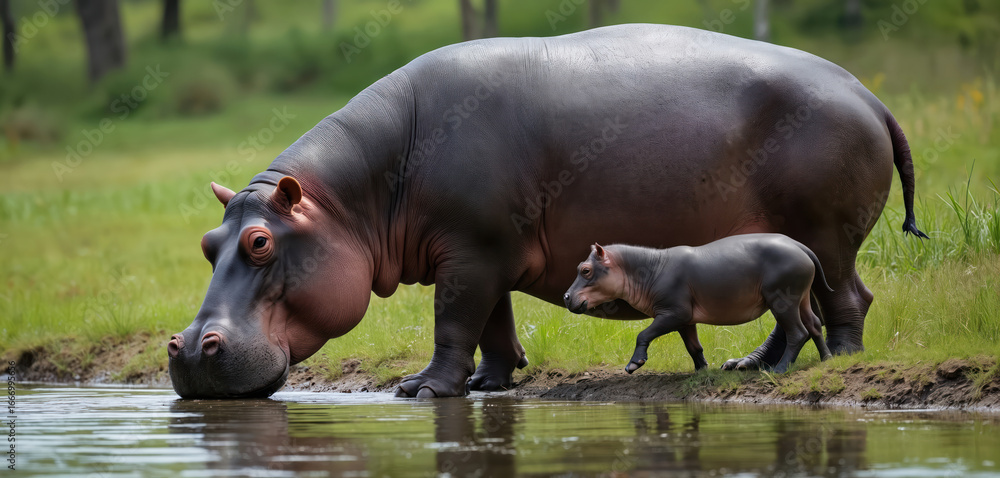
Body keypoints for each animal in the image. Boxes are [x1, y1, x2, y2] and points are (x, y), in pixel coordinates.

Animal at [563, 236, 834, 374]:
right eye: (578, 267)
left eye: (585, 269)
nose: (566, 296)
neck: (647, 268)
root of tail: (800, 245)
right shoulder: (685, 319)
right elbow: (694, 346)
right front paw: (702, 370)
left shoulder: (672, 312)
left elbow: (644, 333)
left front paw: (633, 365)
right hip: (800, 297)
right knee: (814, 325)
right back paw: (827, 359)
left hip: (782, 300)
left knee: (797, 333)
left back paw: (779, 370)